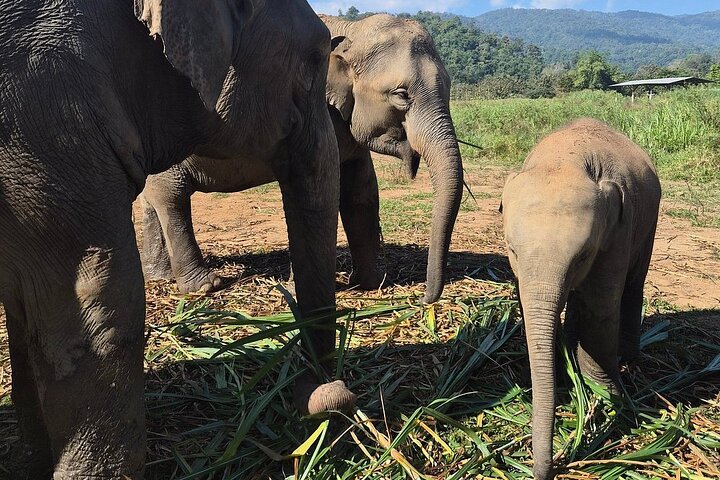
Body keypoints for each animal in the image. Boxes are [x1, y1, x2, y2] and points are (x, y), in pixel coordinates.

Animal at [0, 1, 354, 478]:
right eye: (316, 58)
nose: (329, 392)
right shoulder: (48, 125)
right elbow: (100, 299)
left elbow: (25, 308)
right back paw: (207, 286)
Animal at [140, 13, 464, 304]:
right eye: (401, 94)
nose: (424, 299)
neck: (351, 30)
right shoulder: (315, 109)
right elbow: (321, 190)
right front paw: (302, 291)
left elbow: (360, 191)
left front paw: (371, 282)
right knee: (172, 198)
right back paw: (205, 286)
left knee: (152, 201)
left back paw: (159, 275)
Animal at [500, 118, 661, 480]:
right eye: (512, 250)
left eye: (582, 256)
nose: (544, 470)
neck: (565, 160)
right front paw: (567, 378)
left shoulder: (619, 229)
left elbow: (601, 304)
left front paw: (606, 395)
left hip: (650, 222)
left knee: (632, 287)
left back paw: (631, 363)